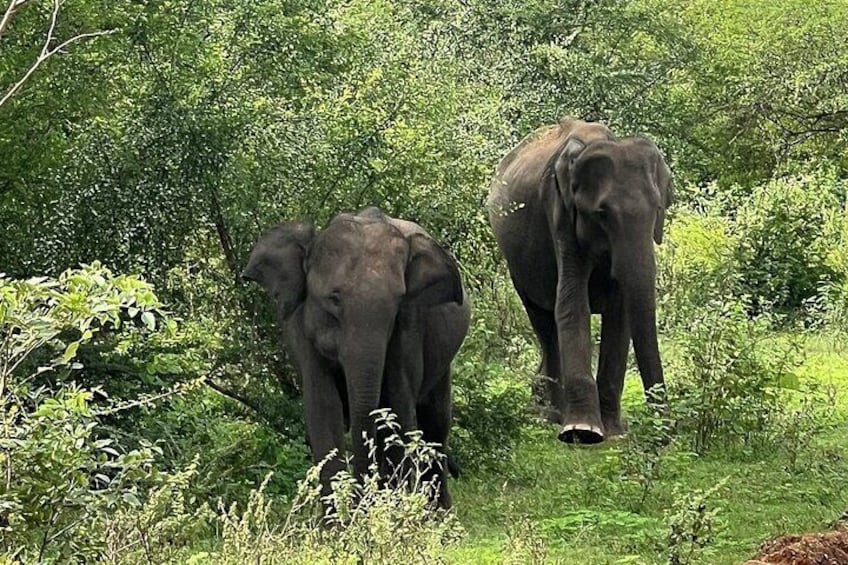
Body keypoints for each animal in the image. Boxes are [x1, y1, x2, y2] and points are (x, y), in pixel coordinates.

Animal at [243, 207, 470, 508]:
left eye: (398, 301)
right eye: (334, 298)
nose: (362, 496)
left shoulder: (408, 326)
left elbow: (397, 405)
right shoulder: (299, 326)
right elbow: (323, 407)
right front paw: (337, 519)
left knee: (436, 421)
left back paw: (440, 511)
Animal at [487, 118, 673, 444]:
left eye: (658, 211)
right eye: (602, 214)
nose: (667, 434)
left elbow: (619, 315)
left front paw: (613, 432)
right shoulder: (560, 212)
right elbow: (572, 302)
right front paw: (583, 432)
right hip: (517, 266)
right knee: (544, 325)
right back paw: (552, 415)